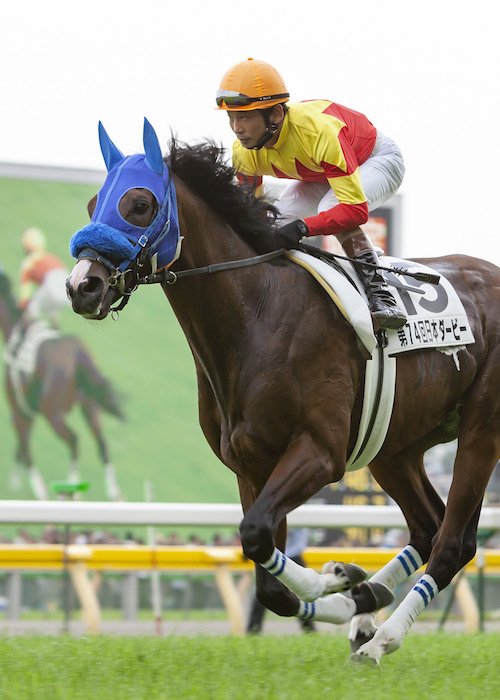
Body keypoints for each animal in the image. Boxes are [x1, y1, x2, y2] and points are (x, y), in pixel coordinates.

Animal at [0, 268, 124, 501]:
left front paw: (36, 489)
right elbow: (22, 448)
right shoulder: (28, 411)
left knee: (74, 440)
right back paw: (114, 493)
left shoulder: (21, 410)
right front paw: (16, 481)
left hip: (53, 413)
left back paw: (70, 490)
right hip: (89, 405)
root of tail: (77, 354)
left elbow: (25, 447)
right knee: (102, 443)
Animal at [66, 119, 500, 664]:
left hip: (480, 430)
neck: (258, 315)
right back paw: (366, 604)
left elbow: (255, 537)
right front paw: (343, 584)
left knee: (454, 542)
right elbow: (268, 578)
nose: (82, 286)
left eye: (140, 204)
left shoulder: (319, 452)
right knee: (428, 524)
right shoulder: (252, 463)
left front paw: (331, 581)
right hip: (394, 446)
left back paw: (382, 639)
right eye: (91, 205)